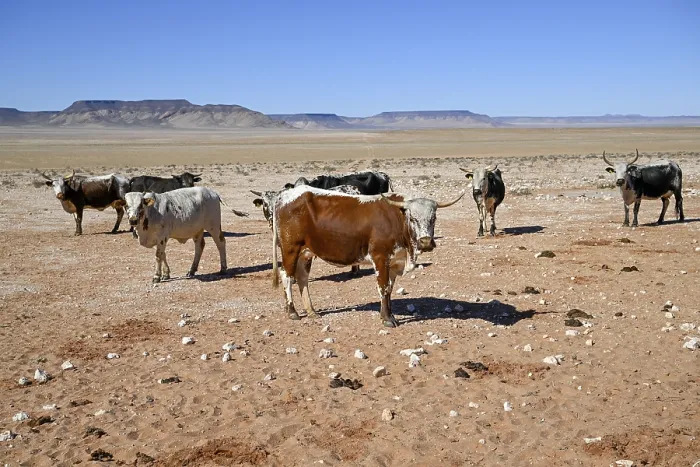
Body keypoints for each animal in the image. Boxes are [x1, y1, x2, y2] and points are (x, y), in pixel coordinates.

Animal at [271, 186, 464, 327]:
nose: (425, 242)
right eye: (413, 218)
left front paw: (388, 314)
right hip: (290, 249)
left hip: (306, 252)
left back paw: (311, 311)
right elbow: (383, 288)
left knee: (302, 278)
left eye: (433, 218)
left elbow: (389, 289)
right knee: (286, 276)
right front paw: (387, 319)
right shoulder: (380, 257)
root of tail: (285, 194)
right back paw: (292, 312)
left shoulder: (394, 262)